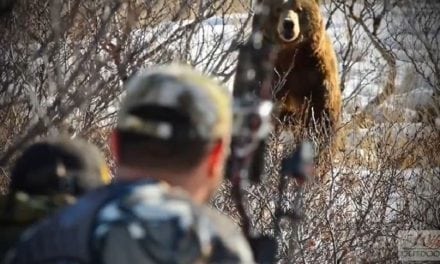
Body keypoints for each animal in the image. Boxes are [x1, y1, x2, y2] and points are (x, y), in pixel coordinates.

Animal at [262, 0, 342, 136]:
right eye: (278, 8)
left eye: (299, 9)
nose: (288, 24)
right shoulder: (274, 74)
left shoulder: (317, 72)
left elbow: (322, 111)